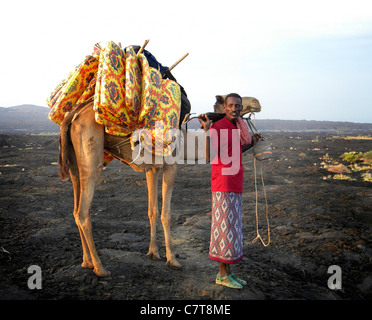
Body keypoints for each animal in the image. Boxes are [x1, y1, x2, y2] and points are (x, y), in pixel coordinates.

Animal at [57, 97, 183, 278]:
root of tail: (72, 115)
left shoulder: (152, 168)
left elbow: (152, 210)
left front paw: (153, 253)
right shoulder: (170, 164)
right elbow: (166, 214)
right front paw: (172, 259)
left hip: (74, 163)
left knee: (75, 210)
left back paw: (86, 262)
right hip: (91, 157)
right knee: (82, 213)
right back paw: (100, 267)